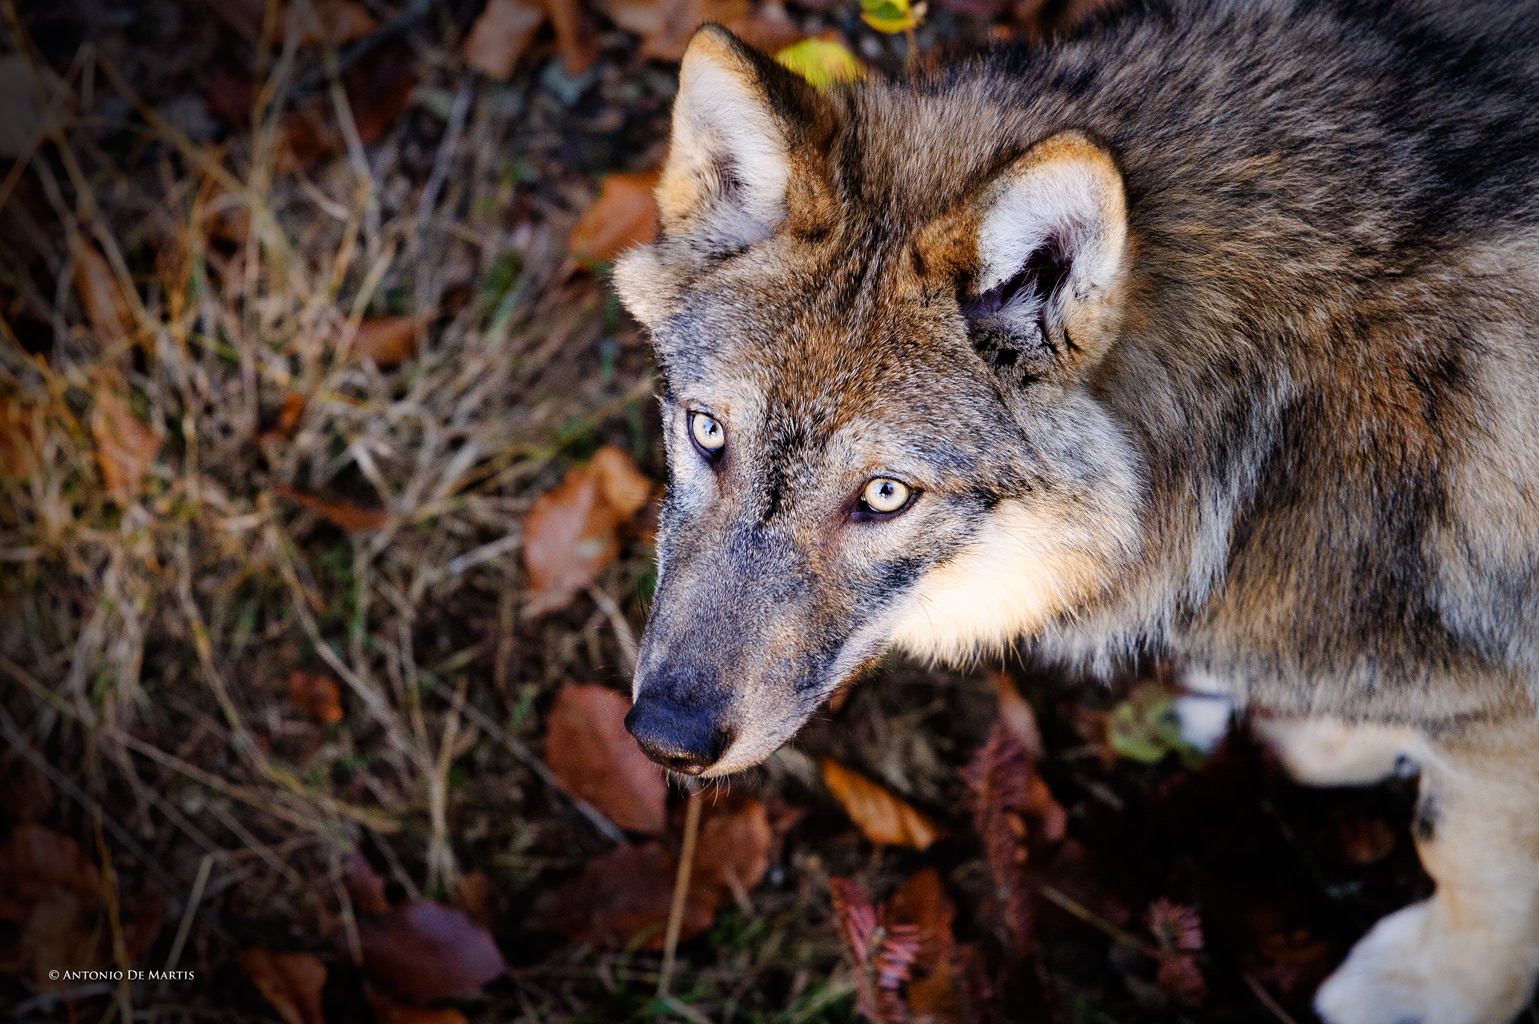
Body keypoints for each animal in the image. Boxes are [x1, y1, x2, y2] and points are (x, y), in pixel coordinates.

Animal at [611, 1, 1539, 1019]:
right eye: (707, 432)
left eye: (884, 495)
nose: (665, 739)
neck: (1272, 418)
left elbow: (1467, 858)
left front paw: (1436, 992)